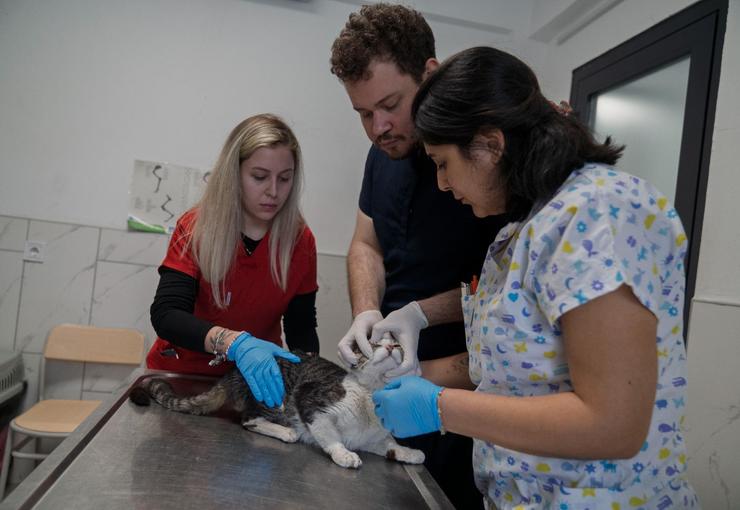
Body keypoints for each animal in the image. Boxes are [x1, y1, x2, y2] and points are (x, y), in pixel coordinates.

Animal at [129, 338, 425, 469]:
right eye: (373, 344)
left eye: (398, 344)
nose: (391, 347)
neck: (371, 396)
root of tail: (233, 373)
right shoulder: (312, 402)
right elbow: (330, 436)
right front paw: (344, 454)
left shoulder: (372, 438)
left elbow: (388, 445)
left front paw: (408, 452)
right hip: (274, 395)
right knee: (249, 419)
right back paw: (286, 431)